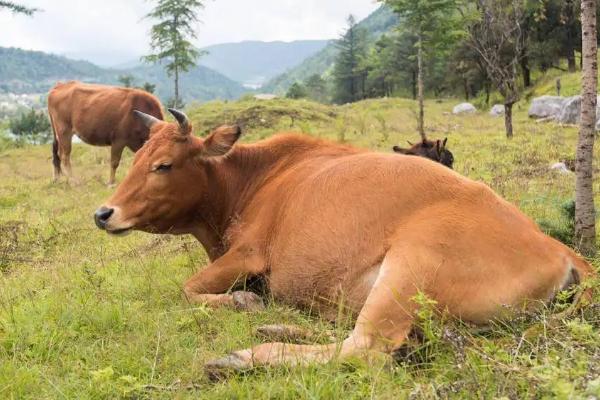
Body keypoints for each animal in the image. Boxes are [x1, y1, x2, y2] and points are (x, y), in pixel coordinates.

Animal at [94, 110, 596, 378]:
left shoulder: (247, 254)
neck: (252, 180)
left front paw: (242, 303)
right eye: (135, 159)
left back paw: (245, 355)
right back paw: (278, 327)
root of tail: (559, 248)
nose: (103, 213)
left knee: (366, 348)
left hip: (409, 265)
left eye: (163, 165)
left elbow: (187, 289)